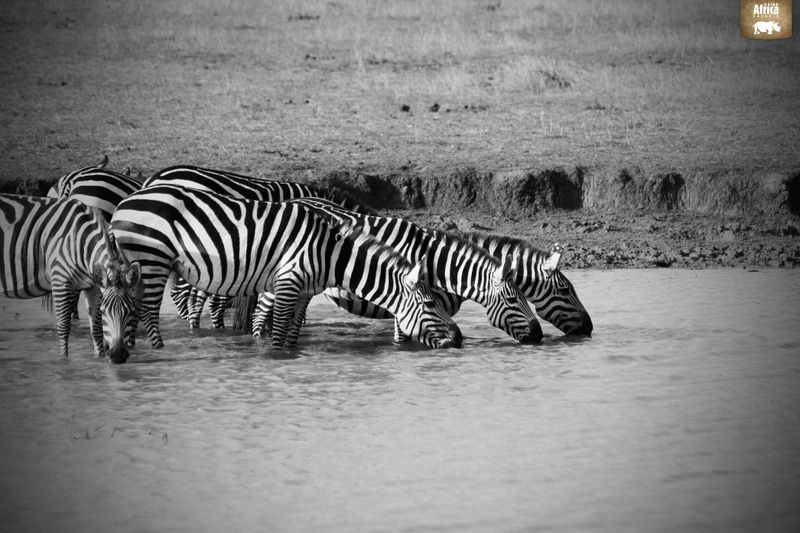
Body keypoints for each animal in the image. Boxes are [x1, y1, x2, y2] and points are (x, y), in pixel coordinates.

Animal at [0, 194, 141, 362]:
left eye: (132, 311)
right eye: (104, 311)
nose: (118, 356)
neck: (79, 241)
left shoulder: (93, 287)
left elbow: (96, 329)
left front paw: (99, 359)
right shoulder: (59, 281)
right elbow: (64, 327)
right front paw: (64, 361)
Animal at [106, 185, 461, 356]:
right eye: (432, 303)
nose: (459, 339)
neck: (332, 253)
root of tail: (127, 201)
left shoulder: (304, 292)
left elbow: (291, 334)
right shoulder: (288, 283)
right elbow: (277, 334)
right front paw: (277, 364)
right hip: (151, 261)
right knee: (148, 314)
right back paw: (156, 353)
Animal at [250, 197, 542, 344]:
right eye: (513, 299)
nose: (540, 336)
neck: (435, 262)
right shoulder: (407, 300)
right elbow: (405, 338)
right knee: (259, 316)